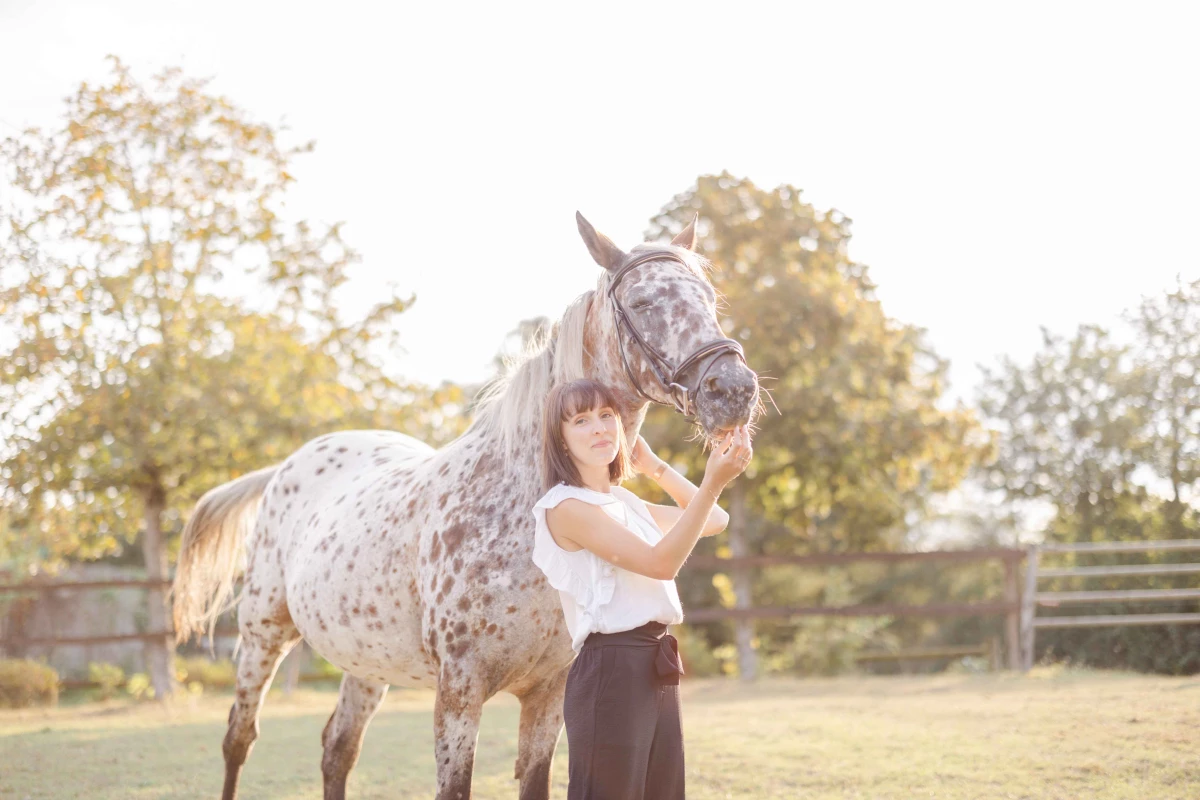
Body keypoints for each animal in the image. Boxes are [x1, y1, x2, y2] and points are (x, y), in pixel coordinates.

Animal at [172, 211, 761, 800]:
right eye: (641, 302)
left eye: (709, 298)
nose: (734, 389)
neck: (521, 505)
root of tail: (289, 465)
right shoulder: (459, 692)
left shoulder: (549, 693)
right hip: (261, 637)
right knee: (239, 739)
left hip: (365, 664)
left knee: (338, 748)